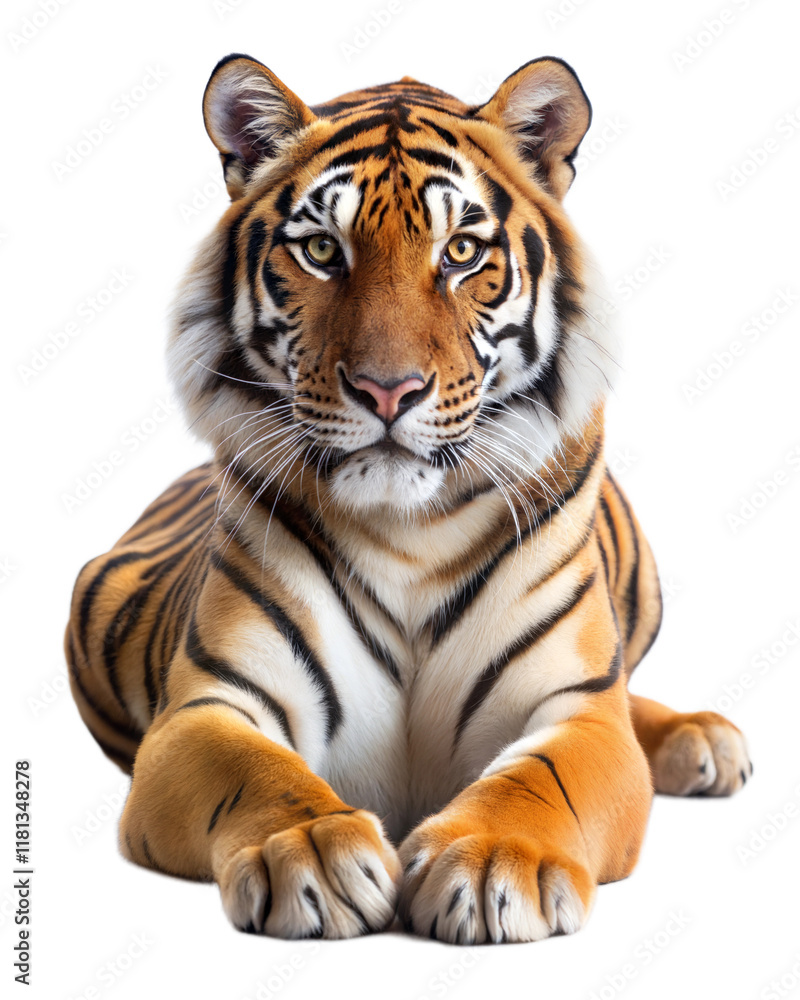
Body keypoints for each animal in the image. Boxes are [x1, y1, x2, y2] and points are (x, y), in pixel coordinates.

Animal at [65, 53, 752, 945]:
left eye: (460, 251)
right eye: (322, 250)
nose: (387, 390)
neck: (409, 531)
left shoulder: (577, 707)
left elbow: (546, 775)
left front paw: (495, 860)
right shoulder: (210, 704)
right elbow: (257, 773)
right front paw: (311, 853)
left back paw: (705, 740)